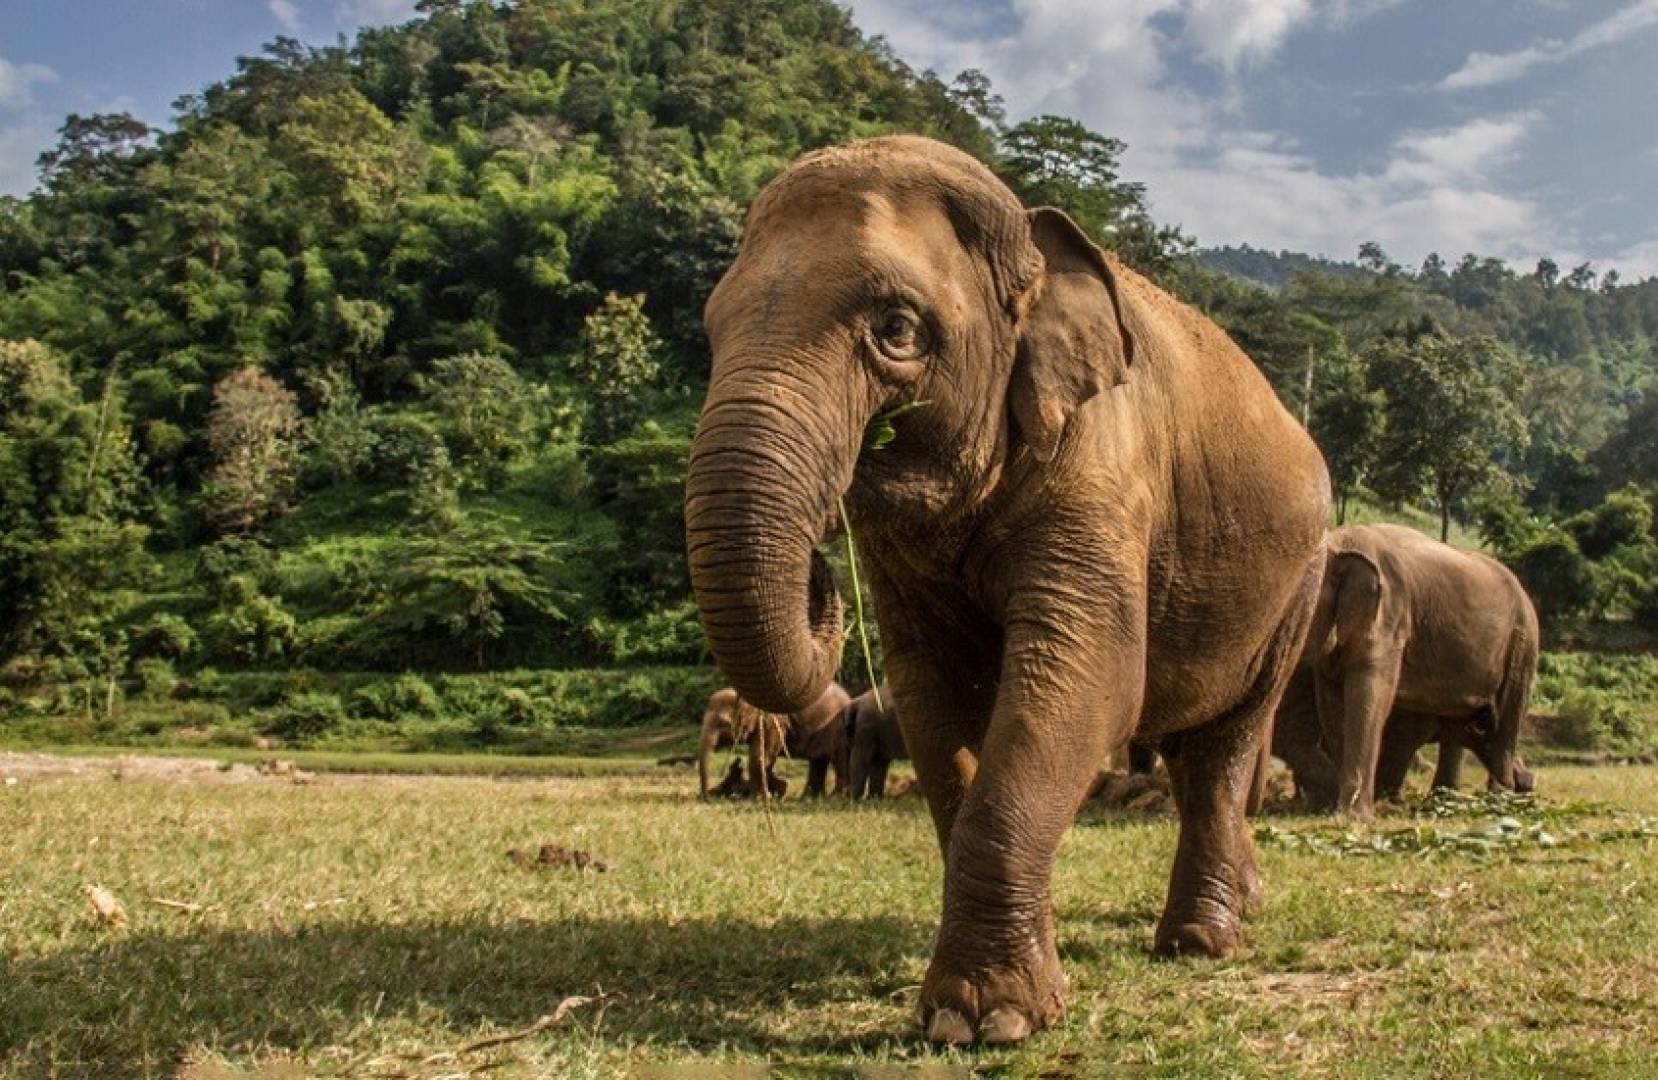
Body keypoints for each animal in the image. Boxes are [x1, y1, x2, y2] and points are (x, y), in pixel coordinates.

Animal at [679, 135, 1326, 1048]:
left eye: (897, 329)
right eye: (712, 328)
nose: (821, 570)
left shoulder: (1103, 471)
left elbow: (1089, 683)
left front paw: (989, 1020)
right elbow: (932, 695)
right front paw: (970, 1006)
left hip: (1298, 583)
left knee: (1225, 740)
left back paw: (1201, 942)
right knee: (1186, 738)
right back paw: (1240, 904)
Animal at [1266, 527, 1538, 819]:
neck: (1341, 541)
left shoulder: (1389, 616)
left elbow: (1369, 695)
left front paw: (1353, 816)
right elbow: (1332, 703)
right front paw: (1337, 806)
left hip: (1522, 644)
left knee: (1504, 720)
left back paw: (1499, 800)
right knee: (1459, 724)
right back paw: (1446, 799)